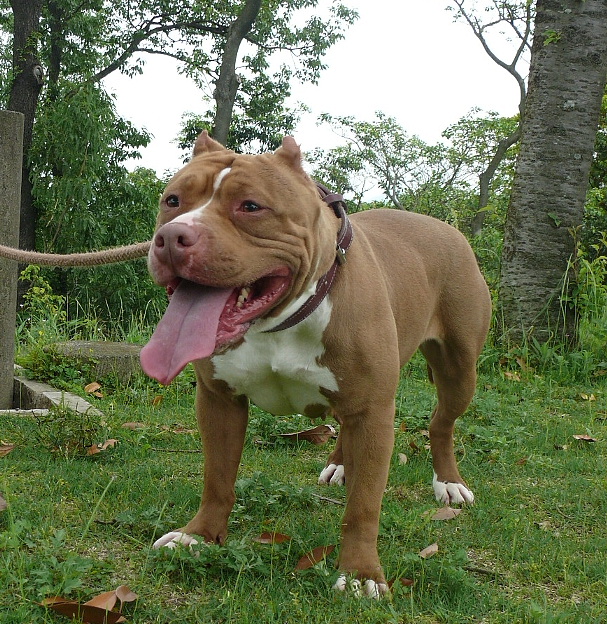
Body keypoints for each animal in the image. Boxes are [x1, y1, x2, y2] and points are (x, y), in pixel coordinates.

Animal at [140, 132, 491, 597]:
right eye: (173, 200)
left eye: (250, 206)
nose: (172, 236)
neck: (280, 321)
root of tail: (443, 226)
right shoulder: (218, 400)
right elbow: (216, 478)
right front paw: (198, 536)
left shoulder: (374, 413)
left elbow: (364, 505)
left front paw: (361, 573)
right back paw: (341, 463)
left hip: (459, 369)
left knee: (441, 420)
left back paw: (448, 482)